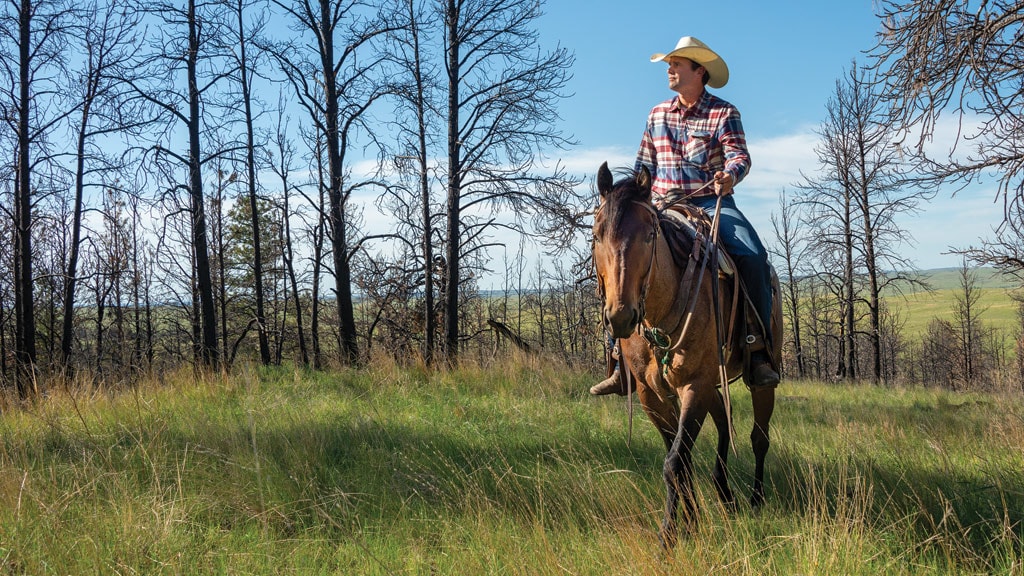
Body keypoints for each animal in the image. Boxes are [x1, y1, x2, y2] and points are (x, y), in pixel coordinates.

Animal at [589, 161, 778, 545]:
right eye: (598, 235)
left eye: (650, 235)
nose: (620, 316)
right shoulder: (652, 394)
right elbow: (679, 456)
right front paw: (690, 522)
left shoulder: (694, 384)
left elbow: (675, 461)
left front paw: (669, 535)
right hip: (709, 386)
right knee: (723, 423)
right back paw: (725, 496)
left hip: (756, 378)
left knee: (759, 436)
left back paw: (755, 499)